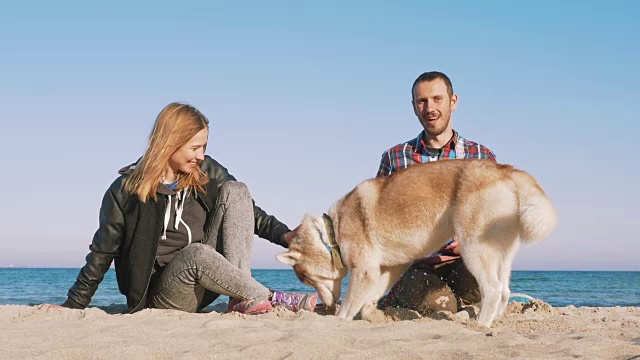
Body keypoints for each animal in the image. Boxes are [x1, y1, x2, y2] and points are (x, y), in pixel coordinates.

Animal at [278, 159, 556, 328]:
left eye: (307, 279)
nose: (325, 306)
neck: (331, 233)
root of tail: (502, 168)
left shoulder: (364, 271)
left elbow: (349, 305)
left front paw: (339, 319)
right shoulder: (390, 268)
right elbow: (371, 297)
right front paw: (370, 314)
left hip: (473, 250)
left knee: (494, 290)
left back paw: (478, 324)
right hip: (500, 254)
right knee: (506, 291)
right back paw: (493, 321)